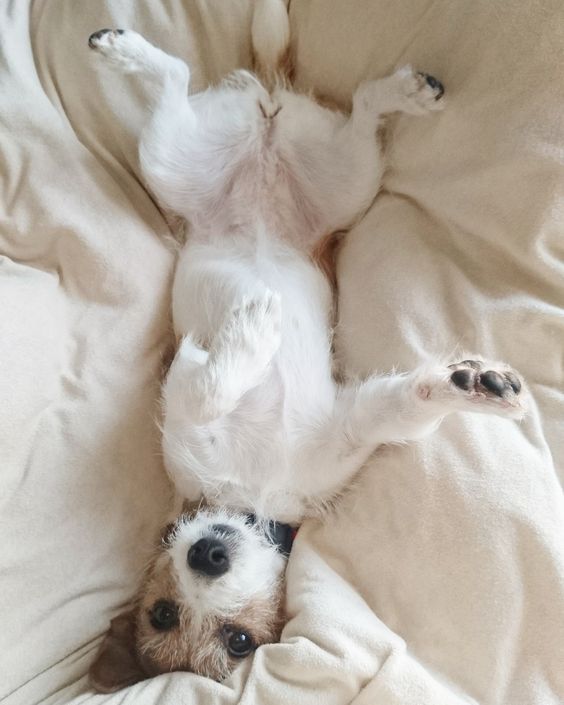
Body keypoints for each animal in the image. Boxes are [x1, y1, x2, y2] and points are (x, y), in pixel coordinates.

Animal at [86, 0, 528, 692]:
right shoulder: (186, 403)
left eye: (236, 638)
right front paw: (251, 332)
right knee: (178, 82)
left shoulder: (345, 430)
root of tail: (267, 115)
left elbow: (412, 402)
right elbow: (206, 386)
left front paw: (476, 386)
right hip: (185, 160)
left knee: (334, 103)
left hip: (328, 177)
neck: (253, 492)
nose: (208, 553)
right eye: (164, 614)